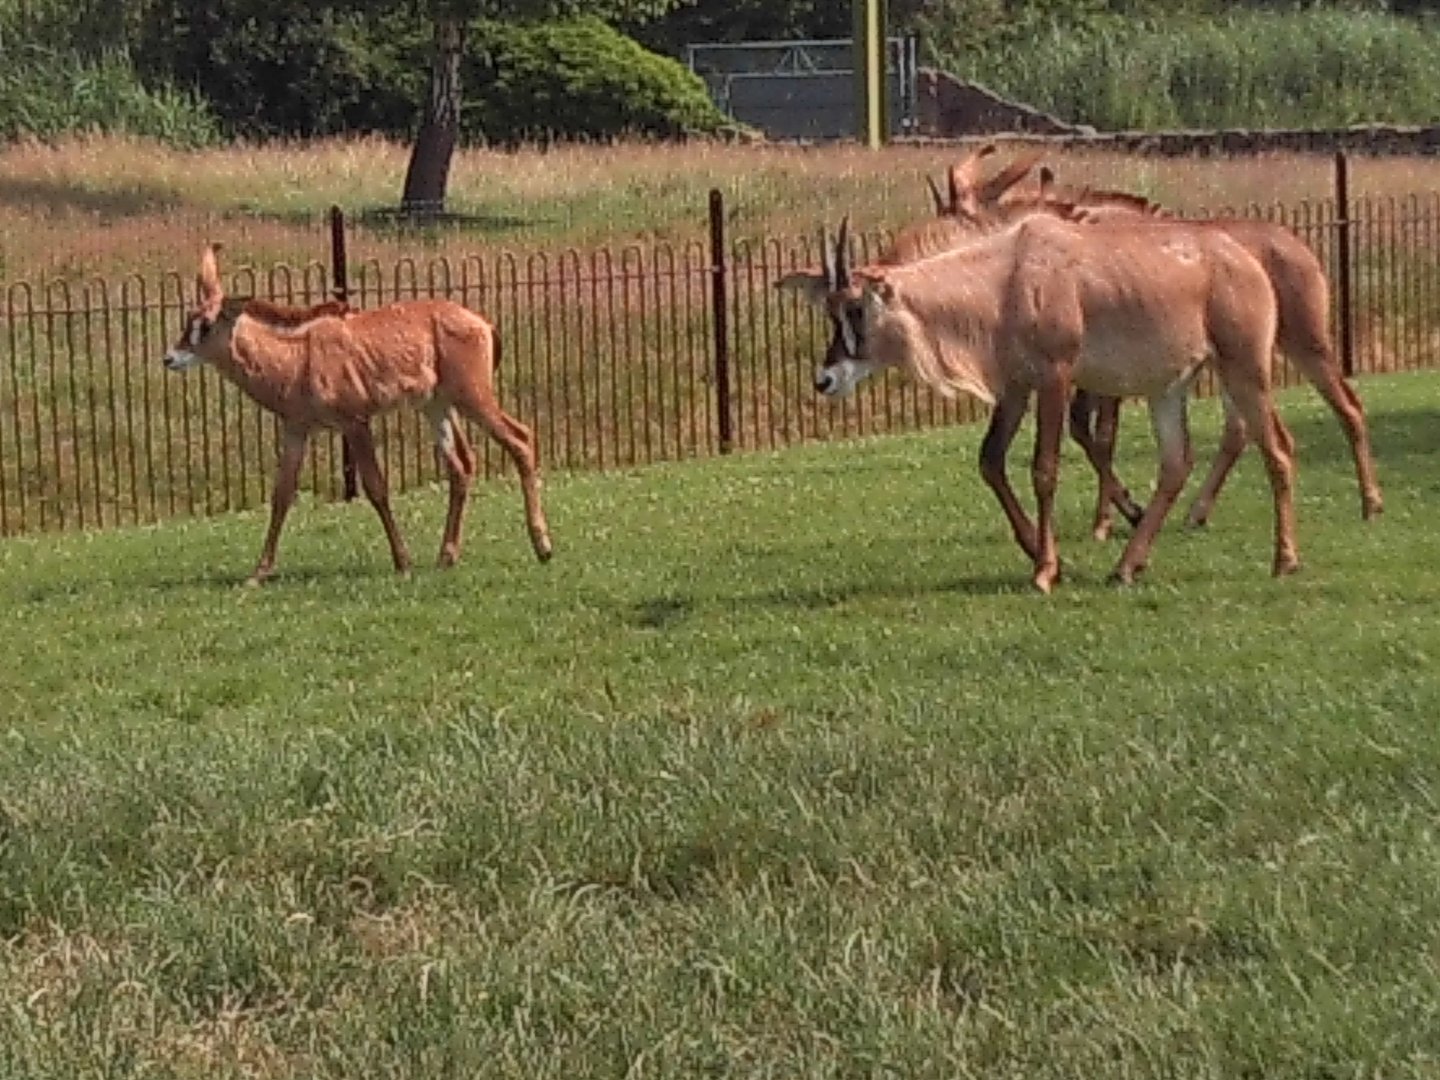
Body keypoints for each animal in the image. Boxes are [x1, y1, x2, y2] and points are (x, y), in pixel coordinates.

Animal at [163, 243, 553, 585]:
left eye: (206, 325)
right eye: (188, 319)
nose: (170, 358)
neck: (296, 357)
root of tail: (483, 325)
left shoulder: (355, 422)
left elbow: (376, 488)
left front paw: (403, 562)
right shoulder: (297, 429)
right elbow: (281, 494)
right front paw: (258, 573)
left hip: (473, 397)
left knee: (520, 438)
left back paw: (543, 547)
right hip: (435, 406)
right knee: (461, 465)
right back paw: (446, 556)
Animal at [777, 214, 1298, 593]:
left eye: (856, 309)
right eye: (830, 310)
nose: (825, 380)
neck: (1006, 278)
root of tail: (1245, 260)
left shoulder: (1054, 378)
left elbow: (1044, 470)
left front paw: (1045, 569)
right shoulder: (1016, 387)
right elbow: (990, 461)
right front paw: (1036, 549)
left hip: (1244, 369)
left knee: (1277, 448)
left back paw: (1284, 561)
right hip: (1168, 388)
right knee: (1177, 463)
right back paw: (1126, 567)